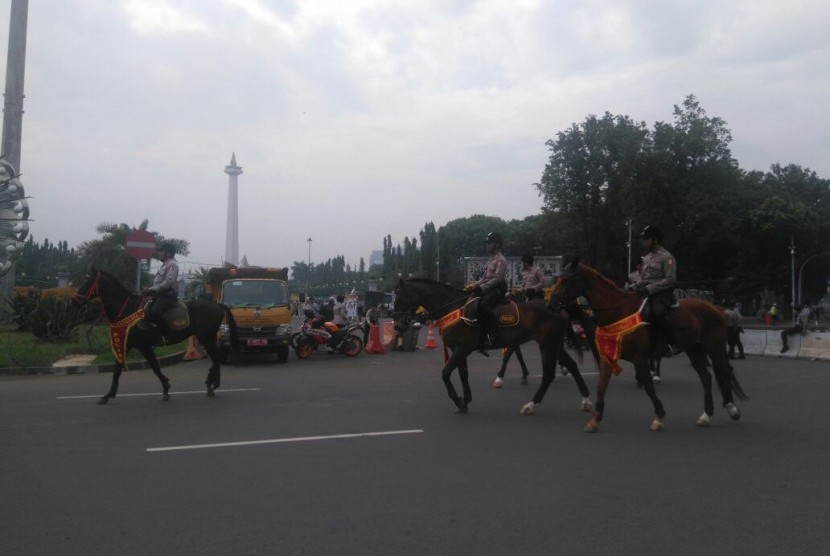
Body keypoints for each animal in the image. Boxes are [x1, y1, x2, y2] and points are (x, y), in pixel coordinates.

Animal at [73, 266, 239, 404]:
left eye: (87, 281)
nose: (75, 301)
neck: (127, 309)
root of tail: (217, 305)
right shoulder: (126, 343)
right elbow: (117, 370)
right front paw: (108, 395)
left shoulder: (143, 346)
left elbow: (154, 367)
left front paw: (165, 388)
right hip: (206, 338)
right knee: (215, 358)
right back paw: (212, 384)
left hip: (206, 337)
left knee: (216, 358)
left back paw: (212, 385)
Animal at [394, 278, 596, 412]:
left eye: (400, 299)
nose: (397, 326)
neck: (454, 308)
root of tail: (559, 307)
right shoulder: (460, 350)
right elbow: (463, 374)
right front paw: (465, 400)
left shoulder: (462, 349)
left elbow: (445, 374)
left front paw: (458, 400)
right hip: (554, 345)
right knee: (570, 366)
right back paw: (585, 400)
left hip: (548, 344)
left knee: (549, 374)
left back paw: (532, 404)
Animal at [552, 256, 748, 434]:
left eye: (566, 280)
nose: (552, 302)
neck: (618, 311)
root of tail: (716, 308)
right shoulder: (609, 356)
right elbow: (601, 387)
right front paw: (594, 420)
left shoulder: (640, 358)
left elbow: (648, 386)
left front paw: (659, 417)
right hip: (694, 349)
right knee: (706, 377)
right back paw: (706, 415)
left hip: (715, 347)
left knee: (724, 371)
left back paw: (731, 408)